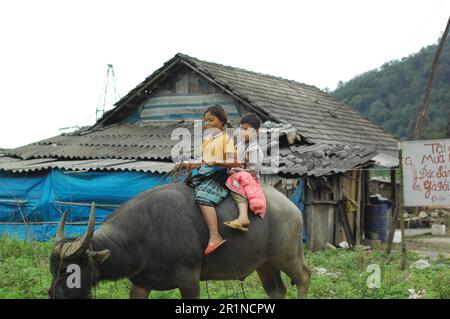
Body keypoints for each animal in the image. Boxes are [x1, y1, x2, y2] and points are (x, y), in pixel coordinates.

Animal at [48, 182, 310, 300]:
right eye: (53, 271)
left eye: (67, 271)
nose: (53, 295)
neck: (143, 236)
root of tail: (292, 207)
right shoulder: (140, 284)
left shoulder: (189, 280)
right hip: (265, 264)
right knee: (277, 290)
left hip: (288, 256)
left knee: (303, 277)